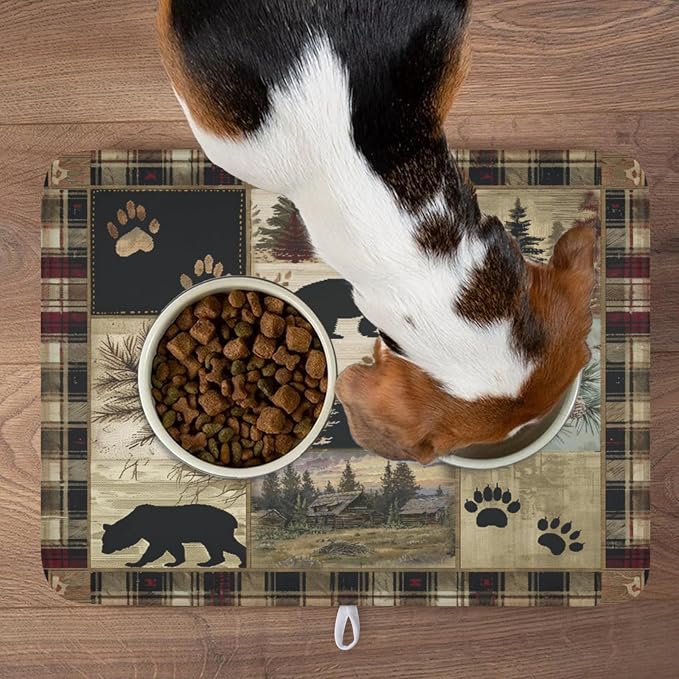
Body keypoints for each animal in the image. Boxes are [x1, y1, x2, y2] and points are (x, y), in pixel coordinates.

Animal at [101, 504, 246, 568]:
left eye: (106, 540)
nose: (103, 550)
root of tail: (232, 519)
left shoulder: (160, 533)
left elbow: (155, 548)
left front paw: (134, 563)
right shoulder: (170, 536)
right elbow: (175, 547)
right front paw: (174, 562)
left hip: (215, 532)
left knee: (225, 545)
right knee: (217, 548)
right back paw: (208, 562)